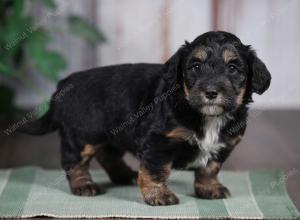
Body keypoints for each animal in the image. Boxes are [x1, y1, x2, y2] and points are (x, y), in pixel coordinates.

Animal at [18, 31, 272, 206]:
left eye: (233, 68)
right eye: (196, 67)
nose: (211, 92)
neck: (205, 115)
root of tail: (64, 84)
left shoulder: (224, 145)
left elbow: (210, 168)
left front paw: (210, 188)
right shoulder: (159, 141)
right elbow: (156, 170)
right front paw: (159, 194)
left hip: (111, 134)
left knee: (107, 154)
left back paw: (124, 175)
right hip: (82, 135)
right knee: (75, 162)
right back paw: (84, 185)